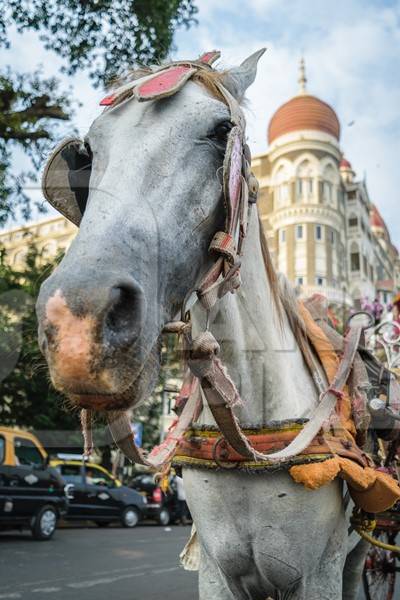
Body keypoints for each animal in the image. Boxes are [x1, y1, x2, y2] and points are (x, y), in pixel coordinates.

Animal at [36, 52, 368, 600]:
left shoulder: (320, 572)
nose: (78, 322)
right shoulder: (217, 571)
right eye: (88, 151)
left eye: (220, 131)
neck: (248, 439)